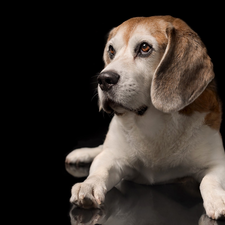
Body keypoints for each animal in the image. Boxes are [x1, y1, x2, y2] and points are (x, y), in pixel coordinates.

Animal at [65, 15, 225, 220]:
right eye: (111, 50)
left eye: (144, 48)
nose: (103, 79)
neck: (154, 123)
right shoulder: (113, 157)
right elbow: (100, 170)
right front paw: (89, 185)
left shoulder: (218, 163)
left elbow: (209, 179)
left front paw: (218, 199)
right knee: (101, 149)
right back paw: (82, 154)